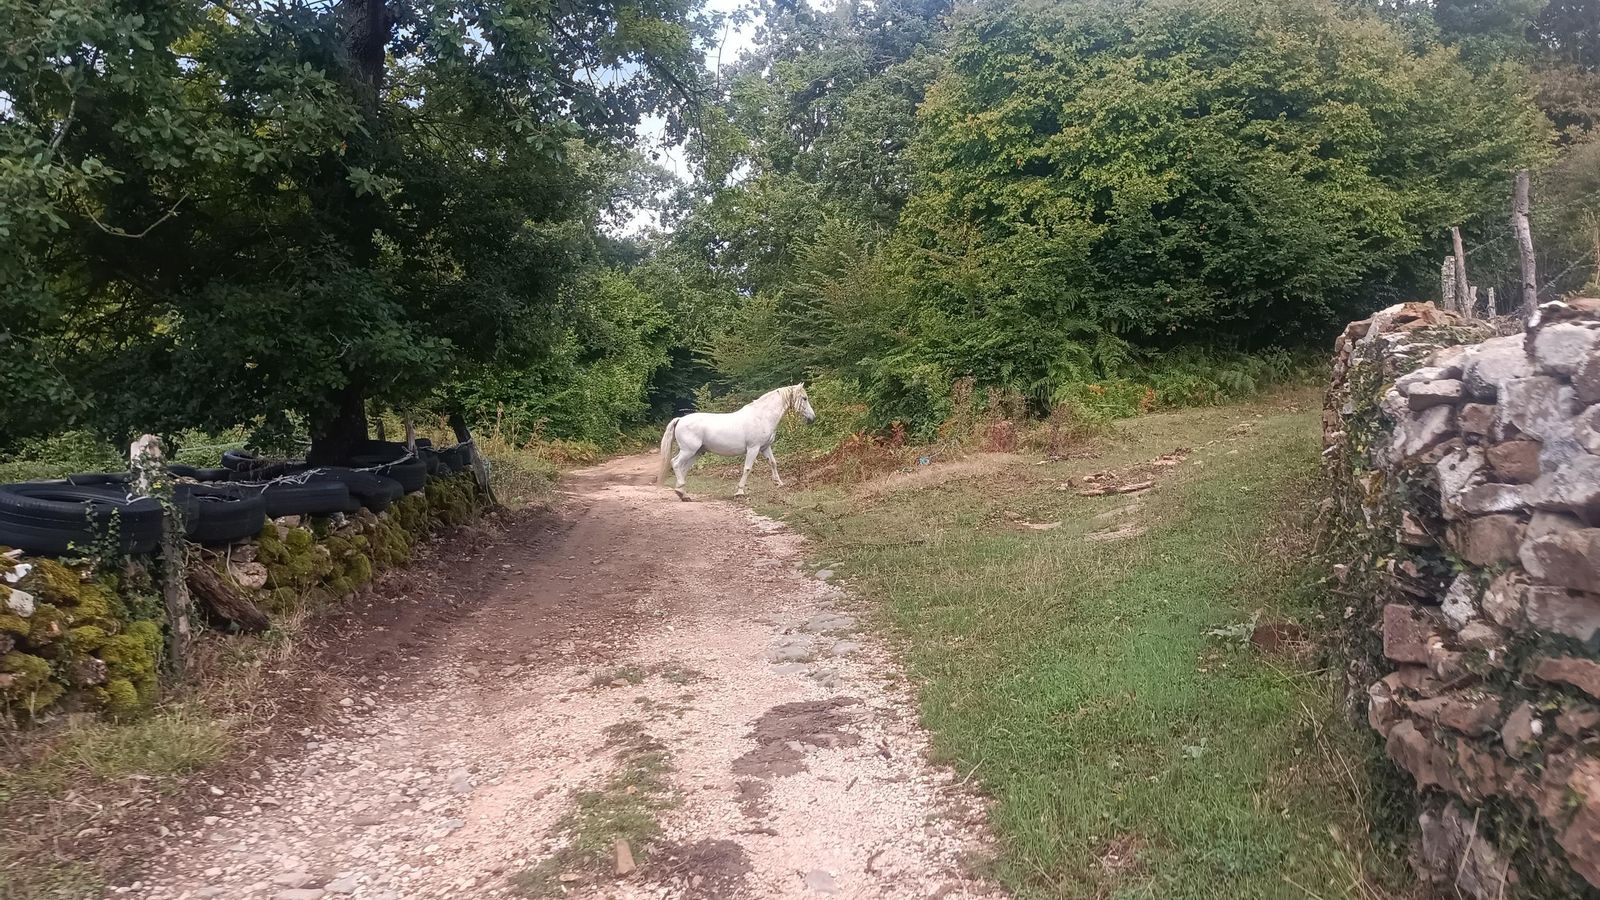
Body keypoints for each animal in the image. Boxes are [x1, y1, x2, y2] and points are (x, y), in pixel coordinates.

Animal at [658, 383, 816, 501]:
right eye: (804, 398)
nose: (812, 418)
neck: (762, 417)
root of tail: (680, 420)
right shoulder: (753, 448)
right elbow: (747, 468)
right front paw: (740, 492)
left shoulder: (765, 447)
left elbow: (773, 463)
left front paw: (779, 483)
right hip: (688, 451)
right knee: (675, 463)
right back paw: (681, 492)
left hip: (697, 452)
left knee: (683, 468)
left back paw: (683, 494)